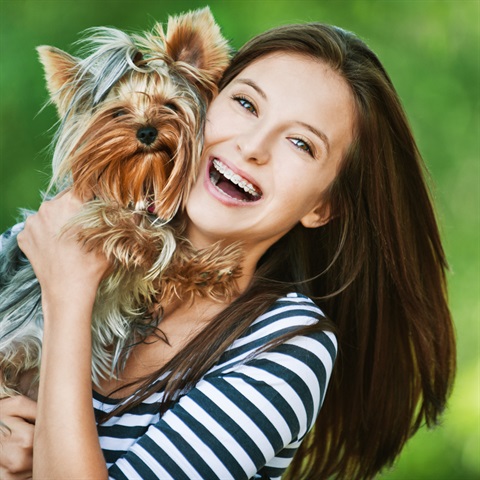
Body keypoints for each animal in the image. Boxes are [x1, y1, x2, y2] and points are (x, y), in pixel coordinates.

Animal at [0, 6, 242, 398]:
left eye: (170, 106)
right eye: (117, 113)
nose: (147, 131)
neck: (142, 182)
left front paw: (208, 267)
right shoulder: (90, 216)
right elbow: (145, 235)